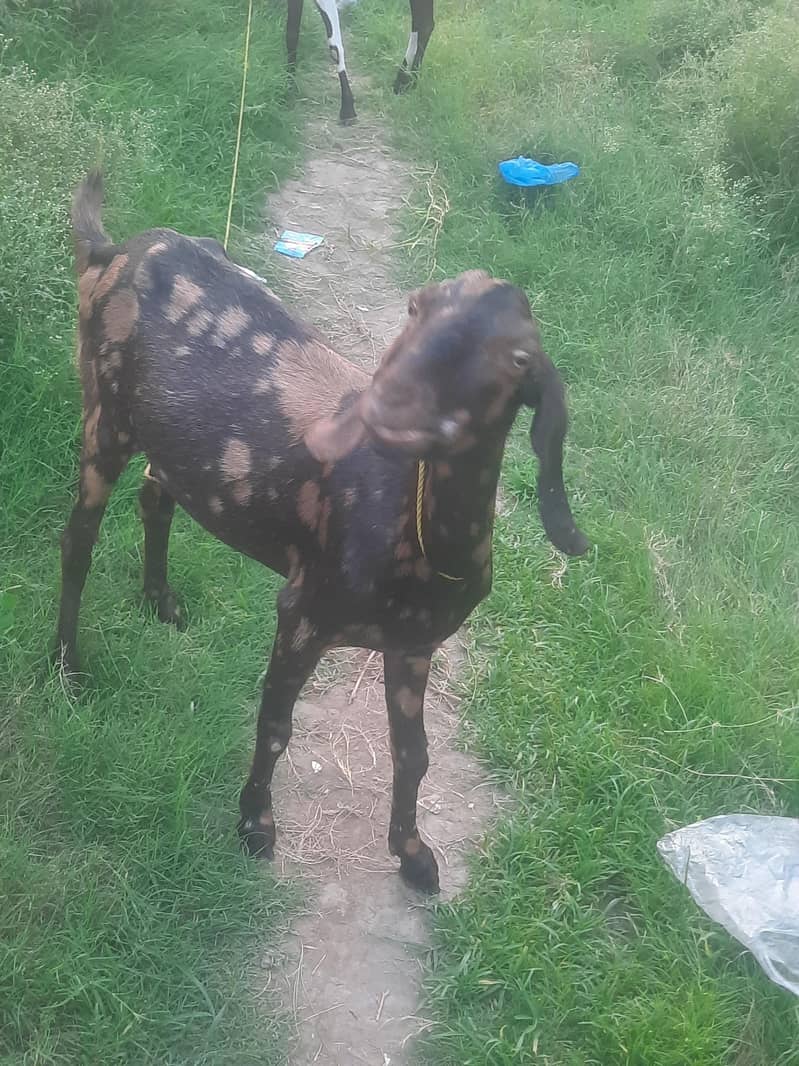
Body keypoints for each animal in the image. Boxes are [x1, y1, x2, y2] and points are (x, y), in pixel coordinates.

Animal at [57, 171, 588, 894]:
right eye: (415, 307)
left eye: (517, 359)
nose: (383, 408)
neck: (413, 530)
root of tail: (112, 251)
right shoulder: (304, 612)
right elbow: (277, 723)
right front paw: (255, 827)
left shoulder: (414, 642)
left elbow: (414, 753)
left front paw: (413, 856)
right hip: (103, 412)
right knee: (77, 541)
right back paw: (66, 667)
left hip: (173, 441)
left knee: (156, 493)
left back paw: (160, 600)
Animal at [286, 0, 435, 124]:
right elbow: (292, 33)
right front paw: (289, 86)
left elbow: (334, 45)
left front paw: (347, 110)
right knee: (421, 23)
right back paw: (403, 82)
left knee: (424, 23)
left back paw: (409, 81)